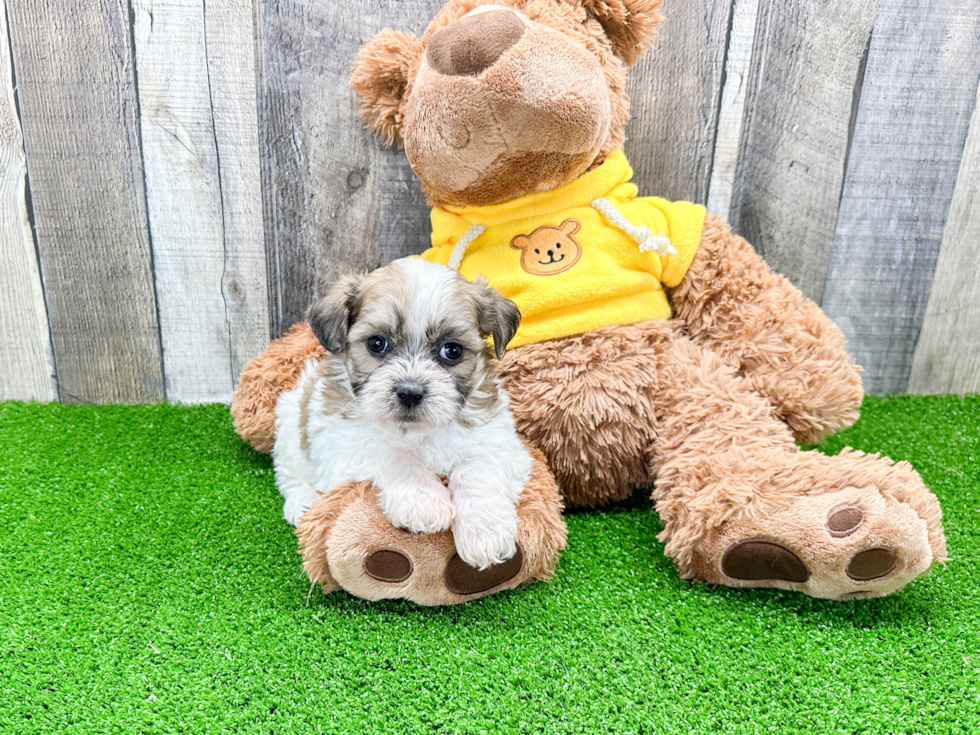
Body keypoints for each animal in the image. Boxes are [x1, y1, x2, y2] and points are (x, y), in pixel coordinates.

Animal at [276, 258, 532, 568]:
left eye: (452, 350)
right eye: (377, 343)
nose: (410, 392)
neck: (416, 432)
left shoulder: (499, 441)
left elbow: (475, 468)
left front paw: (486, 531)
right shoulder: (344, 447)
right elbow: (394, 457)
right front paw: (423, 501)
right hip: (290, 424)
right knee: (289, 473)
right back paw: (301, 501)